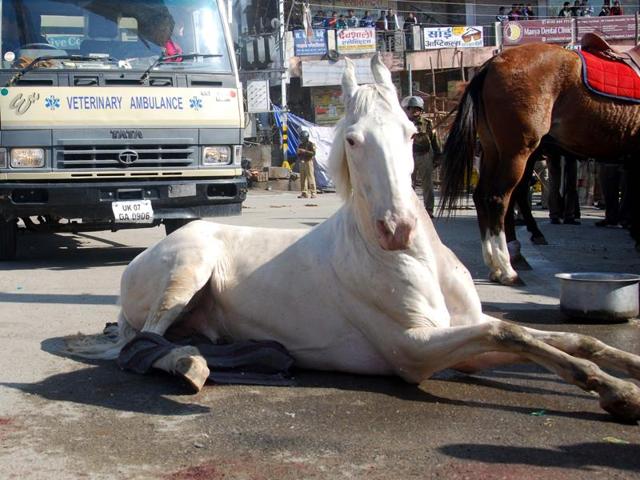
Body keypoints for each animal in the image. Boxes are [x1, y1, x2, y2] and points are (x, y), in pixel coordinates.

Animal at [441, 42, 640, 285]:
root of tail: (492, 63)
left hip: (494, 149)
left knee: (482, 196)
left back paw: (496, 265)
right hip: (518, 151)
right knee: (500, 198)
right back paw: (508, 268)